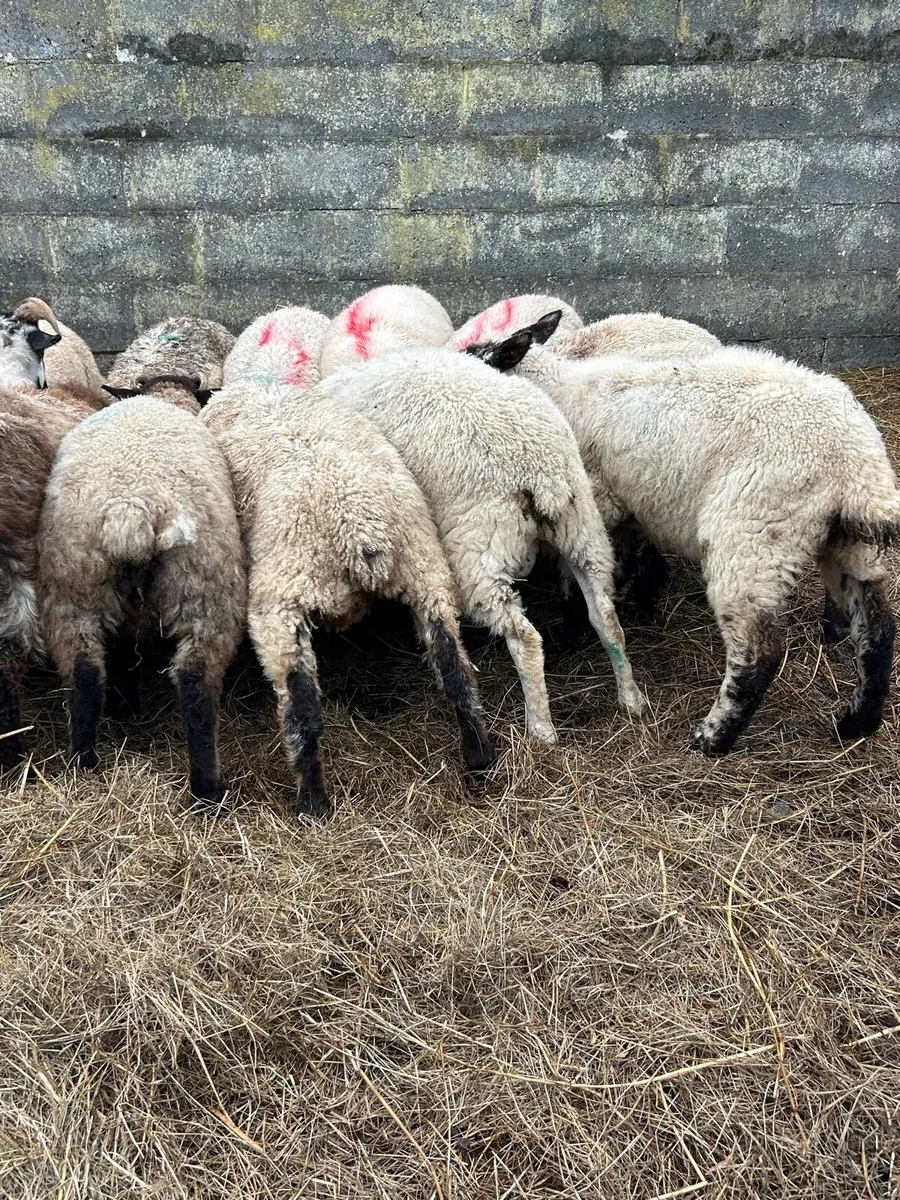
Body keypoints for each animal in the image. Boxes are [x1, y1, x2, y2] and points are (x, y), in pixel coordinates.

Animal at [38, 372, 246, 805]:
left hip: (72, 585)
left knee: (84, 672)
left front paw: (125, 705)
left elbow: (118, 652)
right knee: (195, 680)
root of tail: (129, 507)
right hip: (206, 587)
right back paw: (207, 791)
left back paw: (84, 762)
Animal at [202, 383, 495, 819]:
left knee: (302, 709)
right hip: (427, 573)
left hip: (282, 601)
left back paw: (311, 804)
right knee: (455, 669)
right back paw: (479, 759)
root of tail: (358, 526)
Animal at [315, 345, 648, 742]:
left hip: (480, 549)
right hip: (582, 529)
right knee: (606, 616)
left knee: (525, 638)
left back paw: (541, 729)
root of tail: (542, 474)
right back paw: (631, 699)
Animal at [467, 313, 900, 755]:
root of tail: (857, 467)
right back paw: (856, 723)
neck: (560, 389)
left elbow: (578, 579)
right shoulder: (628, 509)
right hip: (851, 545)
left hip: (752, 540)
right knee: (878, 629)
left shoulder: (595, 506)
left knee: (758, 655)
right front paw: (638, 604)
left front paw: (573, 630)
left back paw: (712, 737)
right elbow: (629, 562)